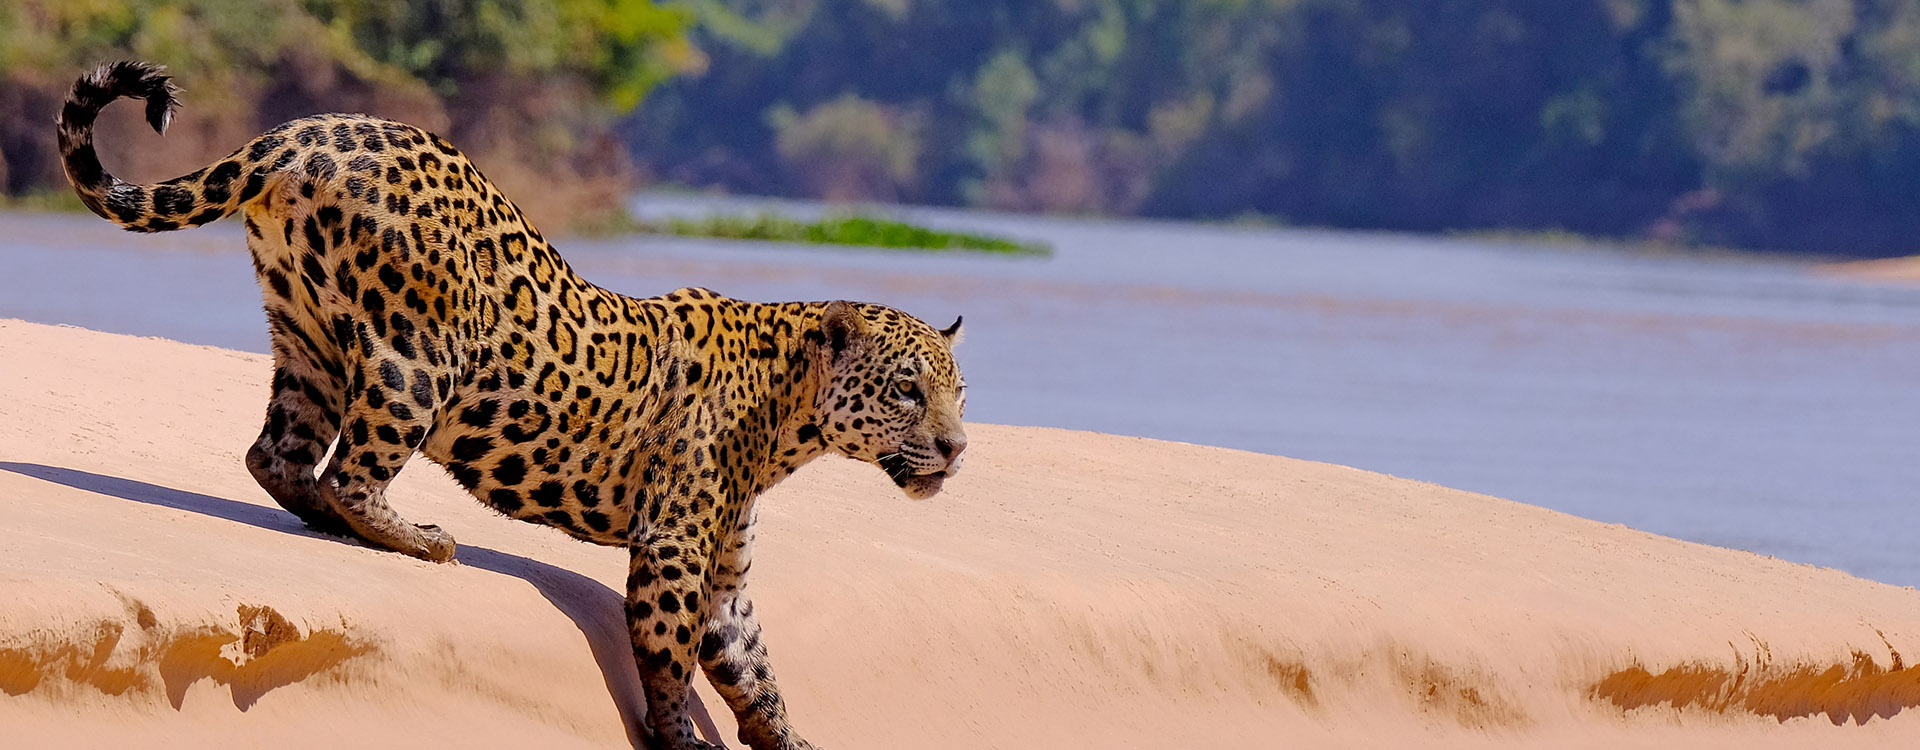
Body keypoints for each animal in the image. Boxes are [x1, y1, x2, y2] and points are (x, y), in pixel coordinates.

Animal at [56, 61, 969, 750]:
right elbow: (669, 655)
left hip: (305, 332)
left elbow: (756, 669)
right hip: (415, 355)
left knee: (277, 454)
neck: (789, 416)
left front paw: (788, 737)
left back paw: (323, 515)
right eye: (908, 389)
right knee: (352, 470)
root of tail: (304, 130)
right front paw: (679, 735)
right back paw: (418, 538)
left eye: (961, 394)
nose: (958, 448)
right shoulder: (674, 545)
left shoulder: (725, 575)